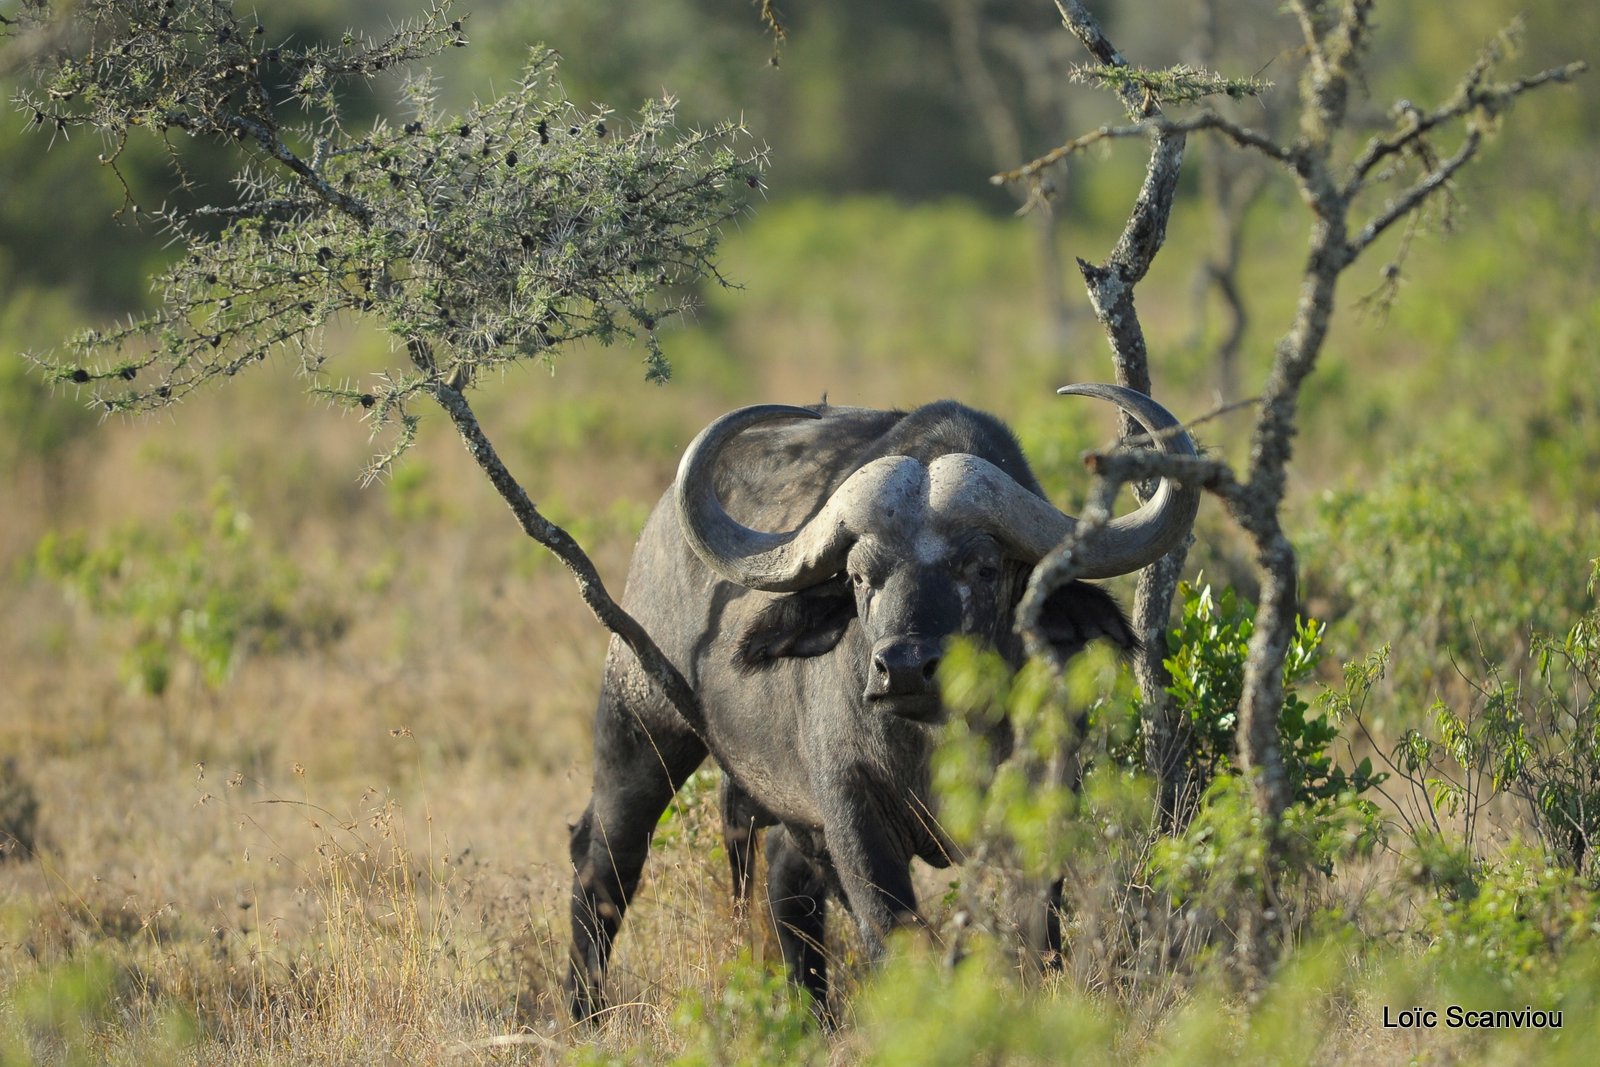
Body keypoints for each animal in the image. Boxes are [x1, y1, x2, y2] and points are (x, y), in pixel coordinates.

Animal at [569, 383, 1196, 1017]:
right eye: (859, 576)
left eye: (984, 567)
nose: (904, 669)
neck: (935, 741)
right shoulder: (852, 808)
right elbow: (895, 933)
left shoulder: (1041, 797)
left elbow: (1034, 930)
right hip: (641, 724)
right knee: (605, 858)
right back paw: (586, 1011)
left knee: (785, 882)